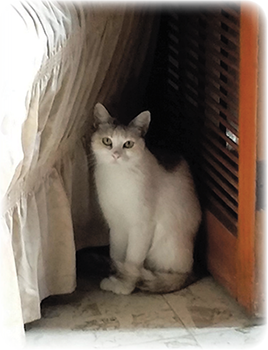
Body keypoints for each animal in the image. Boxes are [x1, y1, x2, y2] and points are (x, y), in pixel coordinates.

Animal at [90, 102, 201, 294]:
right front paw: (115, 277)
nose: (116, 155)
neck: (118, 177)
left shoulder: (142, 226)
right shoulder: (116, 224)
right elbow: (117, 255)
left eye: (128, 144)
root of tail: (192, 270)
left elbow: (131, 261)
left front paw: (124, 286)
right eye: (107, 141)